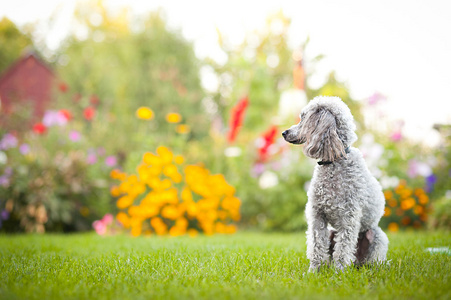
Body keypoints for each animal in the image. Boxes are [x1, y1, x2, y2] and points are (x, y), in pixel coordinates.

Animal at [282, 96, 388, 272]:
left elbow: (343, 248)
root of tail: (358, 262)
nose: (284, 132)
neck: (333, 161)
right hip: (332, 233)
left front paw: (340, 272)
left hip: (377, 236)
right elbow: (316, 245)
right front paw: (313, 271)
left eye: (303, 118)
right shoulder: (317, 215)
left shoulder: (349, 217)